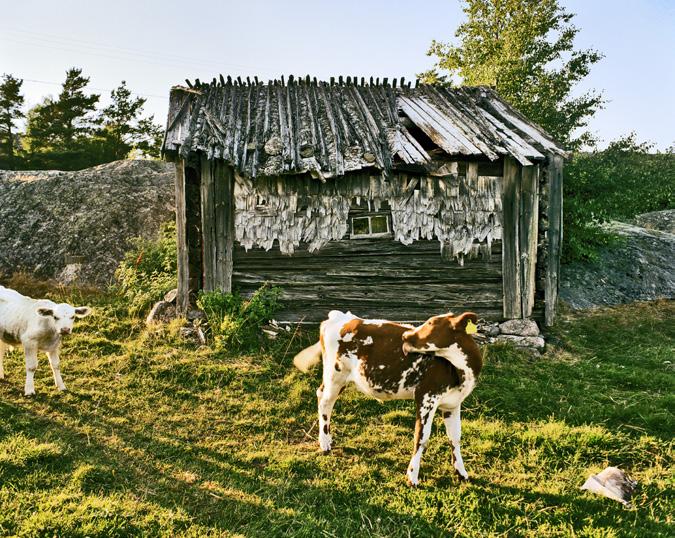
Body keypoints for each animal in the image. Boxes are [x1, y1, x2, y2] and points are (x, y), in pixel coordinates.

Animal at [294, 308, 484, 484]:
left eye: (431, 323)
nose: (406, 335)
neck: (460, 372)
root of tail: (341, 316)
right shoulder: (426, 397)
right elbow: (421, 437)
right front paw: (412, 476)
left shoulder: (453, 403)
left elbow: (455, 437)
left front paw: (461, 472)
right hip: (335, 374)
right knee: (326, 402)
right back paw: (325, 442)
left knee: (321, 393)